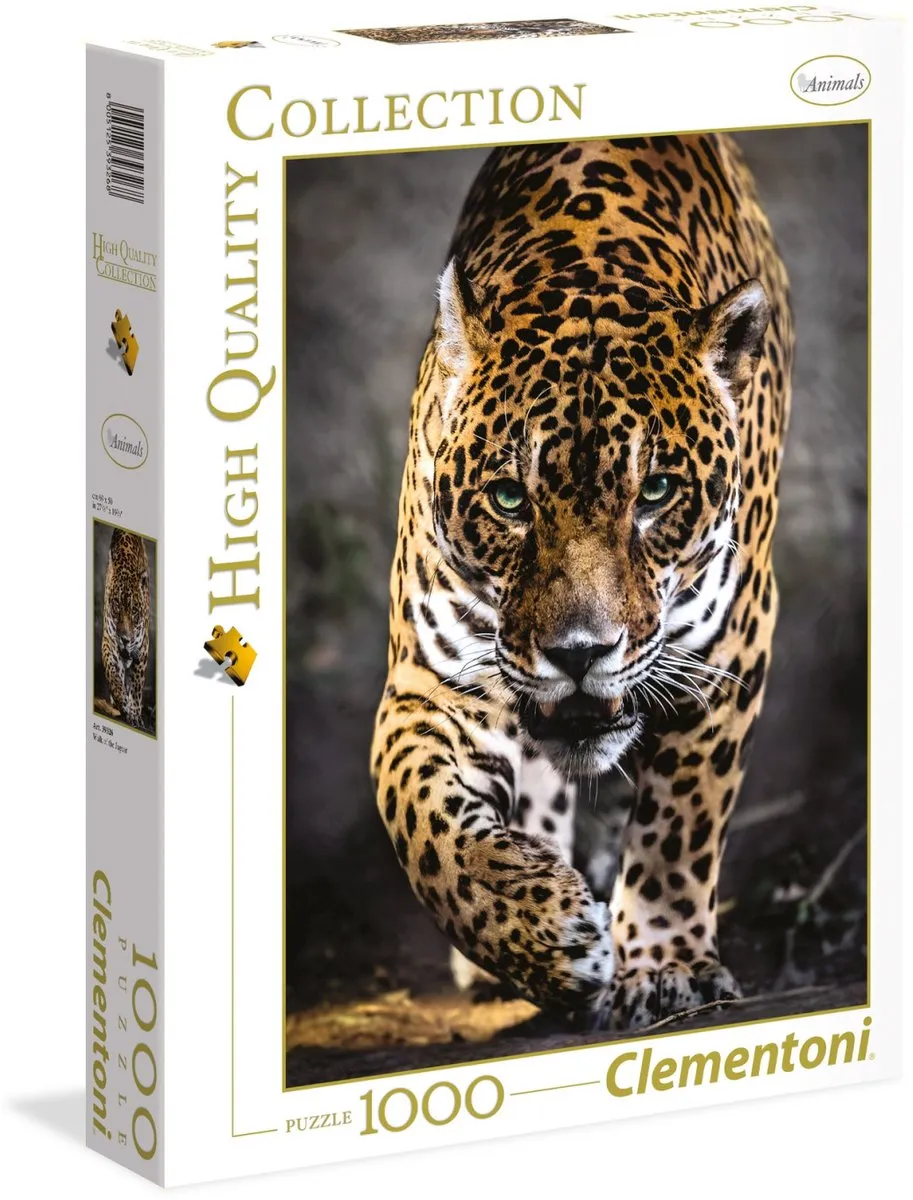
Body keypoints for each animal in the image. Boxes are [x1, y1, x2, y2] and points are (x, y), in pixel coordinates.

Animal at [101, 529, 151, 730]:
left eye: (134, 611)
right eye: (116, 606)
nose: (125, 639)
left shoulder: (142, 648)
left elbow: (136, 686)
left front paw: (135, 715)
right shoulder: (108, 640)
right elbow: (113, 673)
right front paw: (121, 700)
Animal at [371, 135, 793, 1030]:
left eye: (656, 493)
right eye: (508, 499)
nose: (577, 653)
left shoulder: (726, 651)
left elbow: (679, 822)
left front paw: (663, 966)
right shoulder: (432, 682)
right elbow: (419, 819)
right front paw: (540, 931)